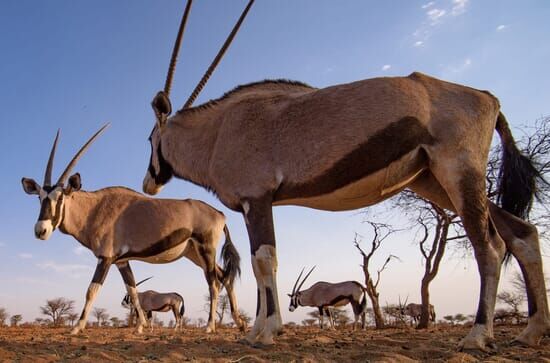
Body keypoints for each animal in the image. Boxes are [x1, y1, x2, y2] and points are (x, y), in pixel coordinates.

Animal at [21, 127, 245, 336]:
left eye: (60, 198)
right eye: (40, 197)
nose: (41, 230)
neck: (94, 208)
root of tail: (220, 214)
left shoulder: (105, 258)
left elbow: (92, 290)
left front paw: (77, 327)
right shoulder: (122, 261)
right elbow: (133, 289)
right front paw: (140, 327)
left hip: (206, 249)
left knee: (213, 283)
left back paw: (210, 326)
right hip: (194, 253)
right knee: (224, 276)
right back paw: (239, 322)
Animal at [142, 0, 550, 348]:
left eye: (150, 138)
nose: (149, 182)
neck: (218, 131)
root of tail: (487, 97)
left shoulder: (257, 199)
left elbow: (265, 260)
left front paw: (267, 332)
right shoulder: (249, 206)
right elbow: (260, 268)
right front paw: (255, 331)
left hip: (458, 173)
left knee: (490, 245)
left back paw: (478, 335)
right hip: (435, 182)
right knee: (522, 233)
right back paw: (530, 332)